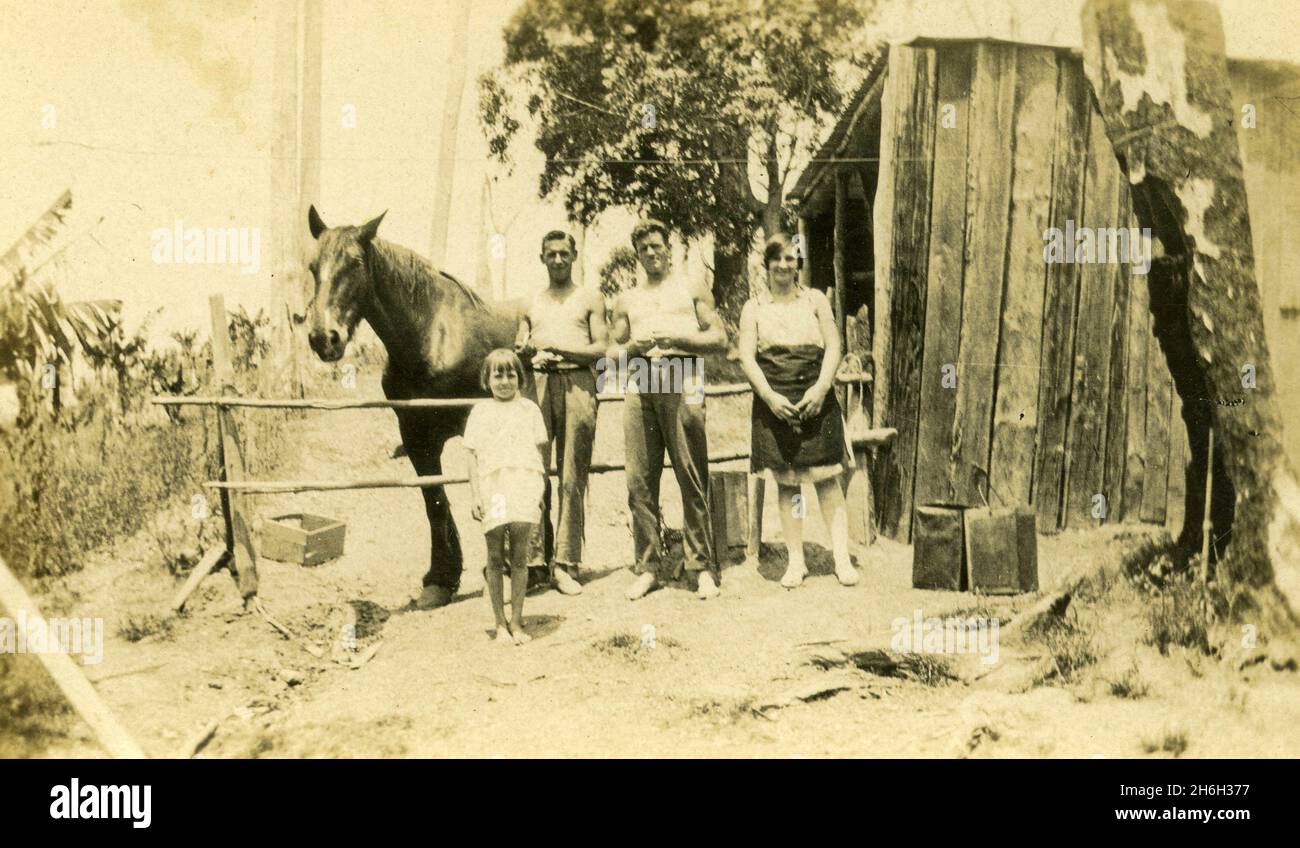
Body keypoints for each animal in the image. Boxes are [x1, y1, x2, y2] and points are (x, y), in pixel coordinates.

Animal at [304, 205, 522, 606]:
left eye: (354, 263)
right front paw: (440, 579)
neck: (432, 337)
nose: (324, 338)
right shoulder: (416, 436)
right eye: (313, 266)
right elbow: (434, 501)